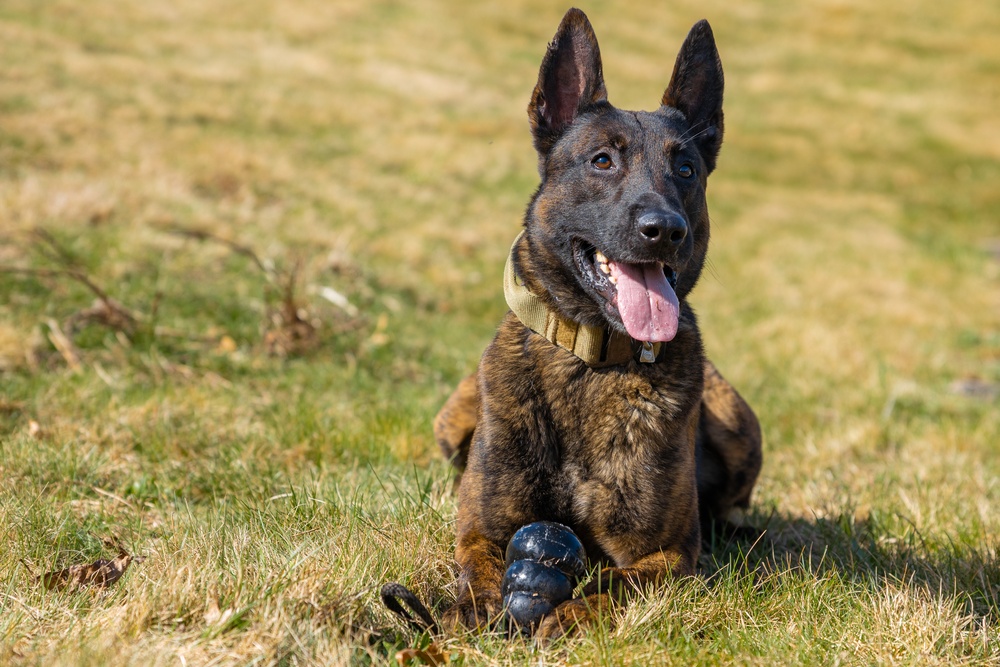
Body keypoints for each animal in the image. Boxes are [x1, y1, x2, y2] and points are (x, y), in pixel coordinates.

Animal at [434, 7, 760, 640]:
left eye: (686, 169)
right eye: (602, 161)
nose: (666, 230)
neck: (589, 361)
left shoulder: (668, 555)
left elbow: (619, 582)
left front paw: (568, 613)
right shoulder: (480, 529)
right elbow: (478, 566)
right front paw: (474, 610)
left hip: (740, 427)